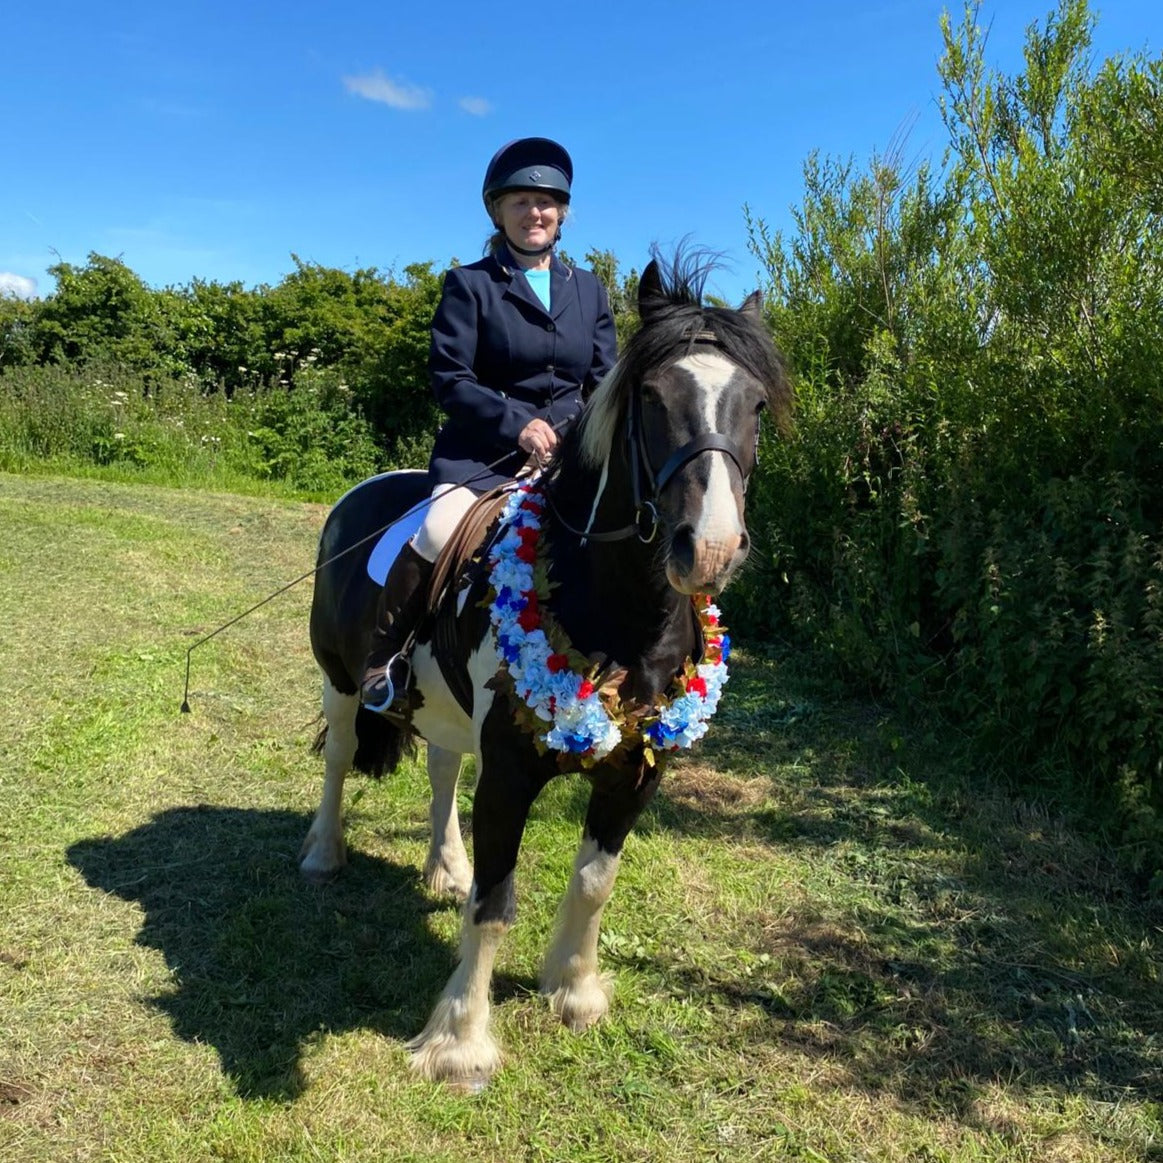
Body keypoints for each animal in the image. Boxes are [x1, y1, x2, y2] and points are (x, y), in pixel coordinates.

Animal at [302, 254, 790, 1088]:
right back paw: (323, 853)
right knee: (338, 757)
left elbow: (594, 881)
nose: (711, 549)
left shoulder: (637, 768)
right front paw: (460, 1039)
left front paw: (574, 988)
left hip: (442, 704)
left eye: (754, 403)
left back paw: (444, 866)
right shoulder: (509, 769)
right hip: (340, 680)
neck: (616, 611)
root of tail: (362, 495)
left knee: (440, 768)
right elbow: (496, 901)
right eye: (650, 398)